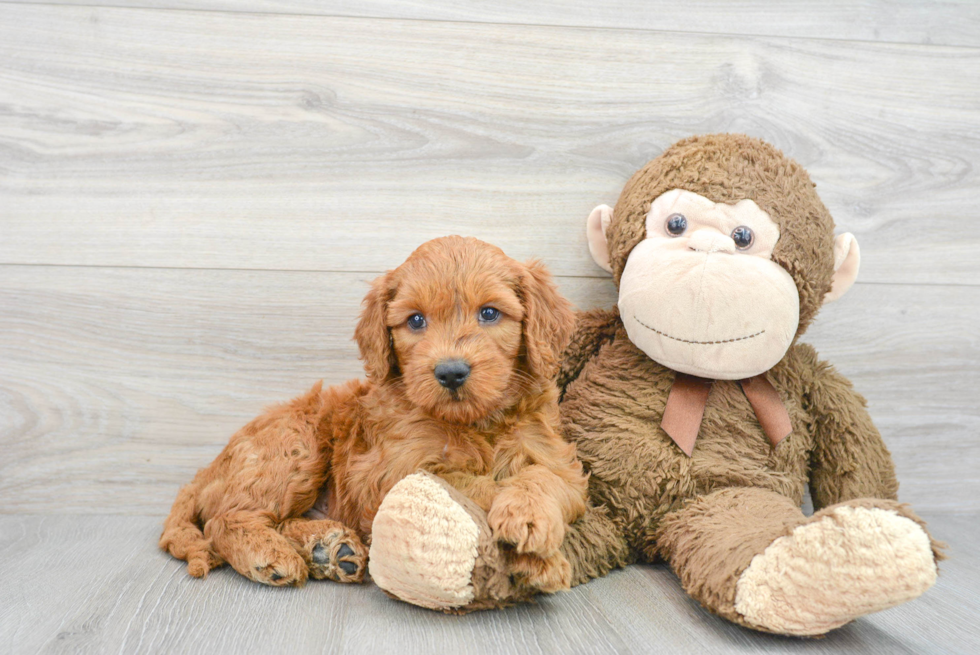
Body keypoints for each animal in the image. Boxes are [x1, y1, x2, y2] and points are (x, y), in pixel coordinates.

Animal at [162, 237, 588, 596]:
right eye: (415, 320)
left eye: (489, 313)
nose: (451, 372)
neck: (473, 422)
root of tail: (206, 472)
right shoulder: (389, 471)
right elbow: (467, 483)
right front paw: (538, 556)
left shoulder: (555, 456)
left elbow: (546, 478)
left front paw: (530, 521)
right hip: (295, 445)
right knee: (224, 520)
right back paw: (271, 554)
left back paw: (328, 550)